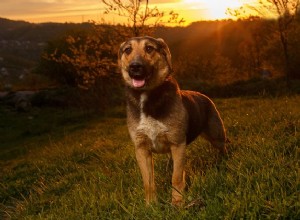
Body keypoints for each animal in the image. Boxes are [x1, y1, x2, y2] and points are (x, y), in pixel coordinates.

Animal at [118, 36, 226, 206]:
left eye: (149, 48)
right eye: (127, 50)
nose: (135, 67)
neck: (147, 98)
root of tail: (204, 95)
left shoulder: (177, 144)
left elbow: (176, 178)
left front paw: (177, 203)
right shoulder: (141, 149)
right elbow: (148, 182)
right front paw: (151, 205)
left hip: (217, 135)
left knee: (223, 148)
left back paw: (224, 163)